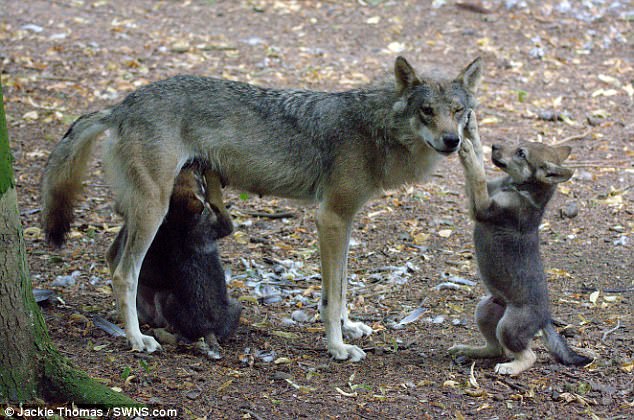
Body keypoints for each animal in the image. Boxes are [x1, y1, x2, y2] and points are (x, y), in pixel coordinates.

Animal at [106, 164, 239, 358]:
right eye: (198, 180)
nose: (191, 164)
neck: (181, 223)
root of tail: (208, 330)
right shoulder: (218, 225)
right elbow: (217, 203)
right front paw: (213, 177)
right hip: (167, 299)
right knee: (180, 337)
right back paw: (158, 334)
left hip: (235, 307)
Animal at [446, 113, 592, 376]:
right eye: (518, 145)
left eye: (521, 153)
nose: (495, 145)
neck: (518, 189)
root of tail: (544, 319)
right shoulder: (478, 199)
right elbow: (478, 168)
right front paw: (472, 130)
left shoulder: (482, 208)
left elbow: (477, 173)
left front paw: (468, 150)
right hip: (485, 310)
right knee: (495, 348)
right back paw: (470, 349)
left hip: (509, 326)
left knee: (528, 355)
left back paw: (509, 368)